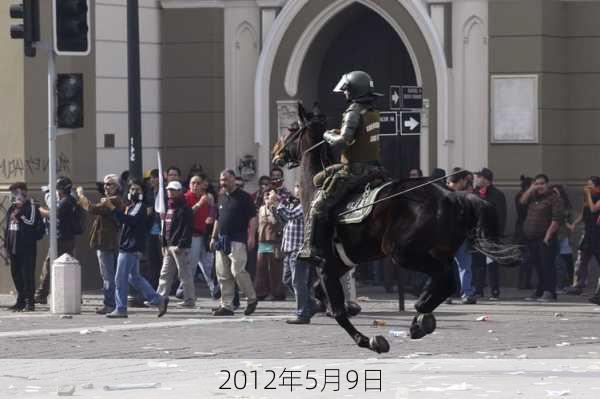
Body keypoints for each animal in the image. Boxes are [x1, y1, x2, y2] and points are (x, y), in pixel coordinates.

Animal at [274, 106, 520, 354]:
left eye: (291, 130)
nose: (276, 154)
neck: (314, 189)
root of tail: (452, 195)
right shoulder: (340, 264)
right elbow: (318, 292)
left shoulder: (325, 264)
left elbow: (338, 312)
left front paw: (367, 339)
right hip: (438, 252)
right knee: (447, 281)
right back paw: (422, 315)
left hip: (404, 253)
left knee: (445, 278)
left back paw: (421, 310)